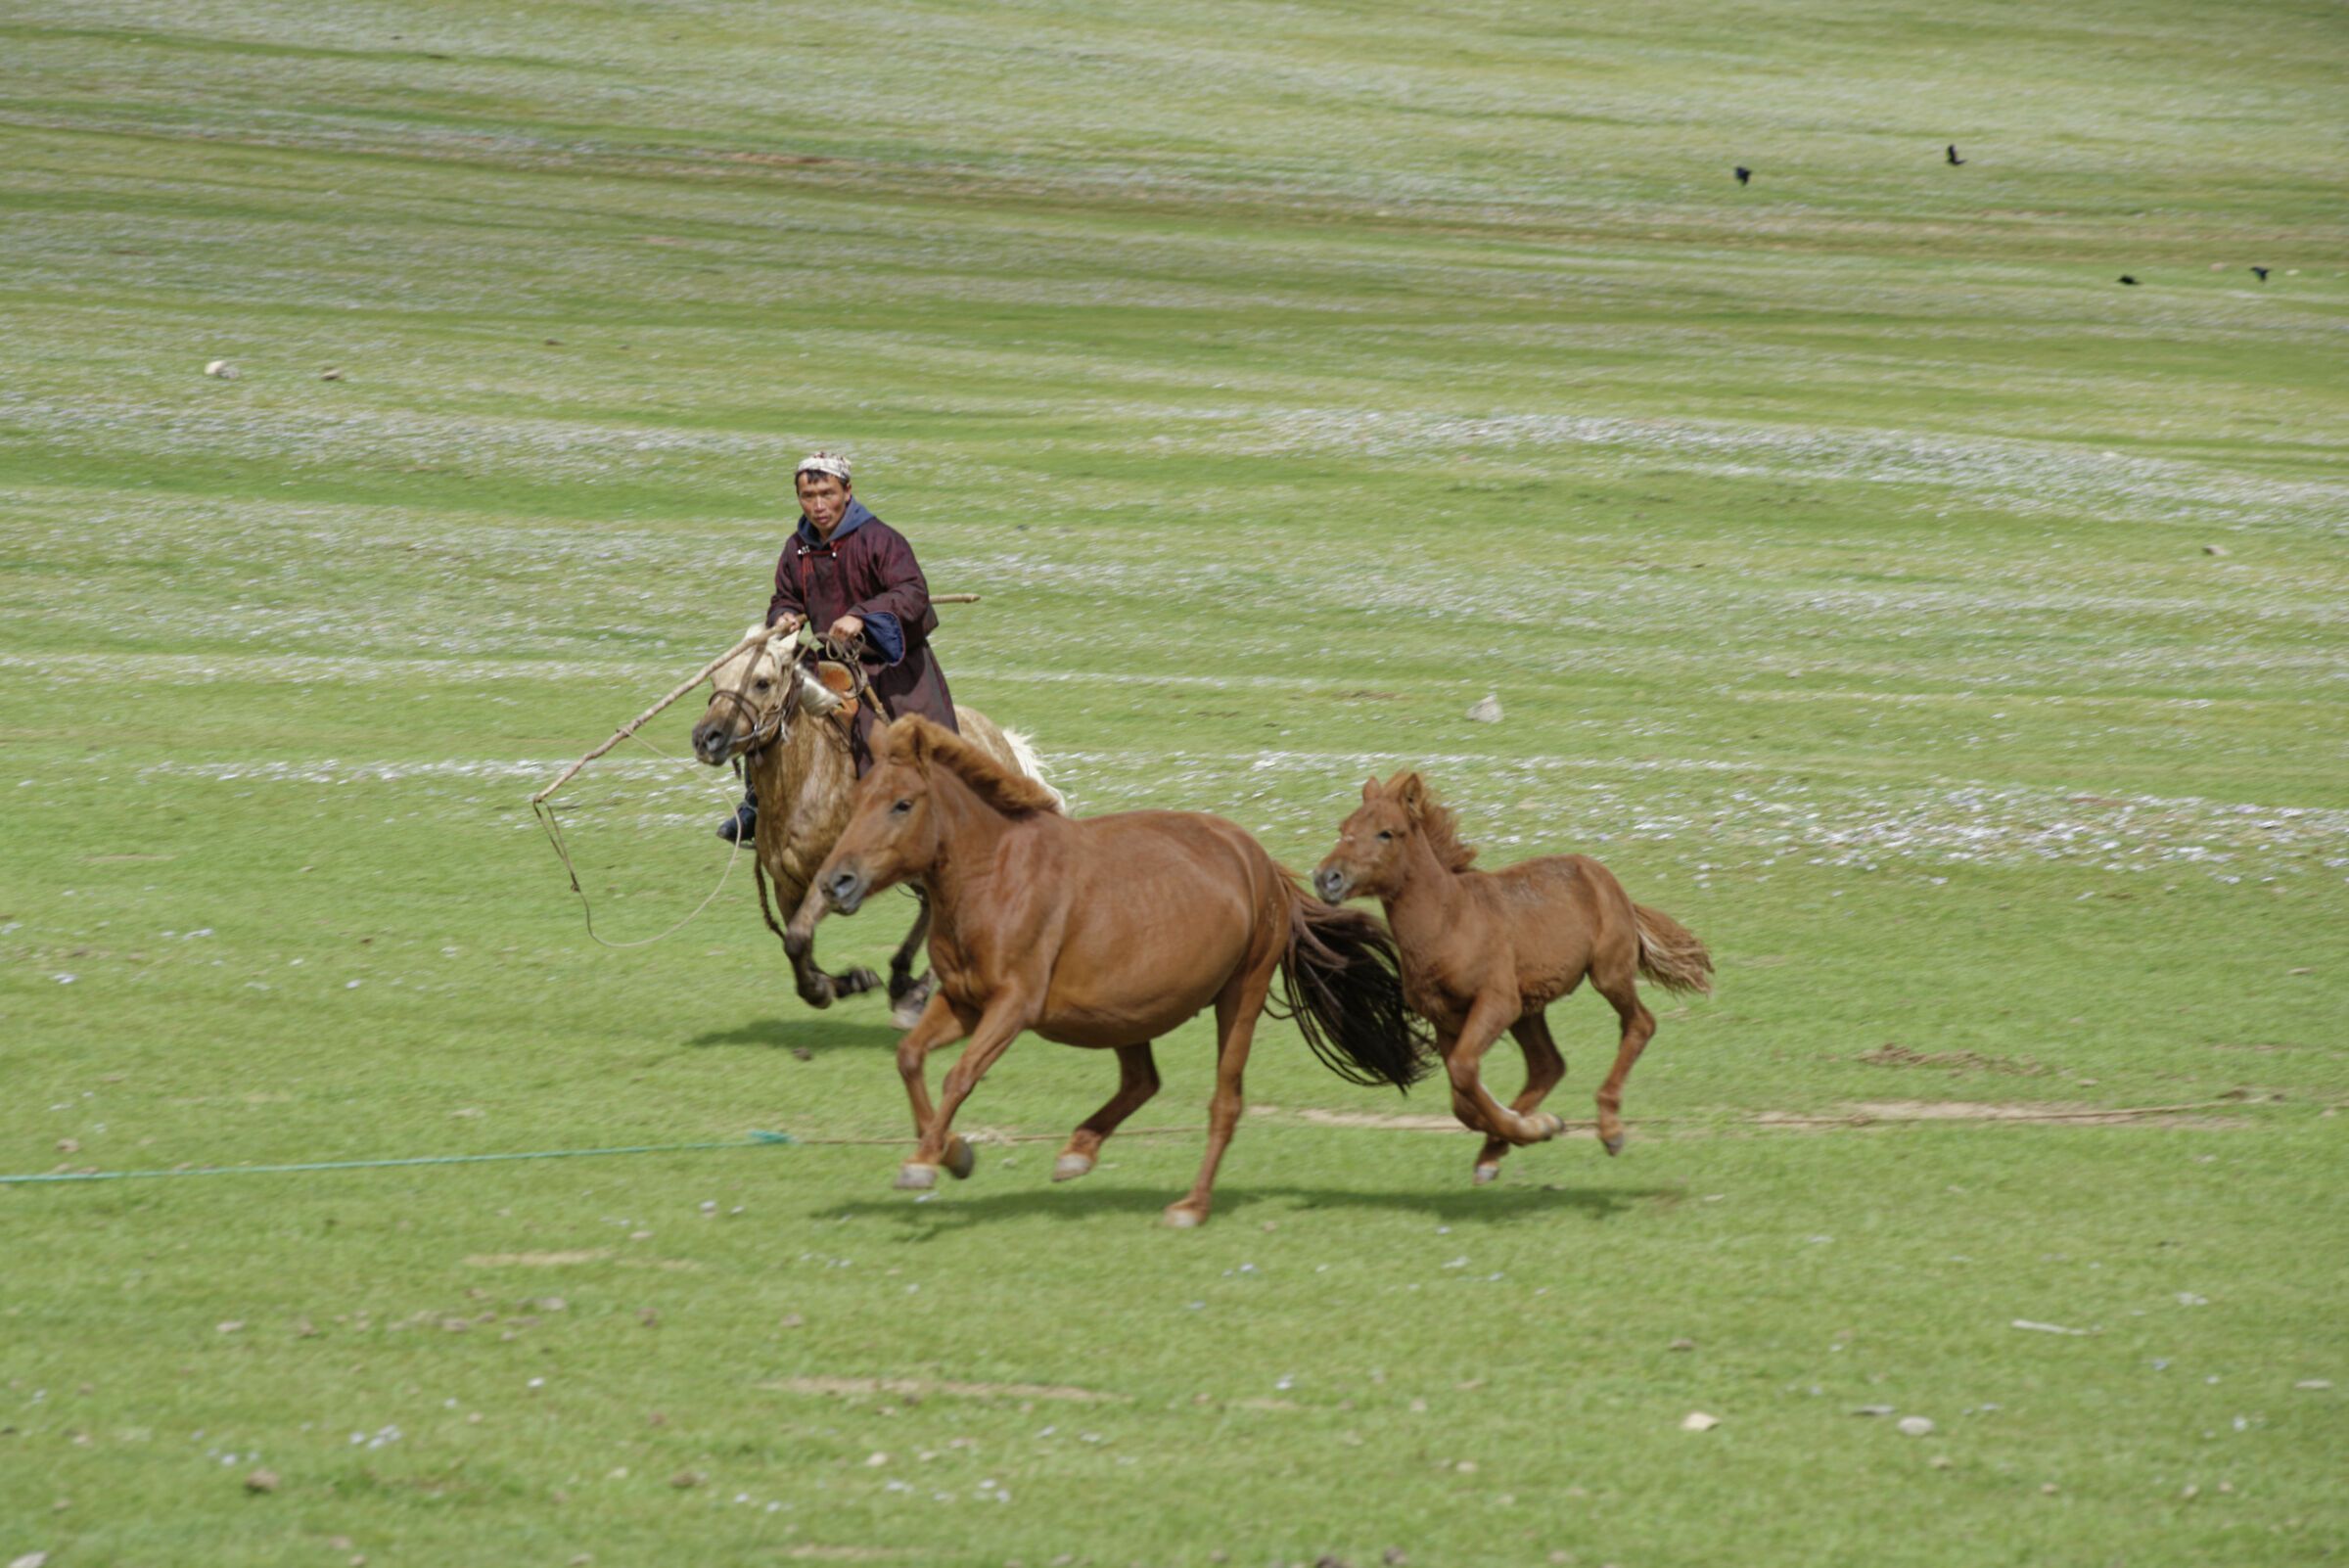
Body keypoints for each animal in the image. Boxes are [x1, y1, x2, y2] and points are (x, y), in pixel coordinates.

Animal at [690, 626, 1061, 1026]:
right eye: (715, 680)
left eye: (762, 682)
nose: (706, 738)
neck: (807, 781)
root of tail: (1000, 740)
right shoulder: (787, 885)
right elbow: (797, 943)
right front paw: (843, 982)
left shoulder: (831, 878)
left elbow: (798, 941)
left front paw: (830, 987)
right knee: (932, 906)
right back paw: (901, 979)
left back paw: (916, 993)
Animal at [785, 715, 1433, 1229]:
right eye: (856, 801)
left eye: (902, 803)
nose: (836, 882)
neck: (995, 875)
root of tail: (1261, 862)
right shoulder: (963, 1002)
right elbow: (911, 1058)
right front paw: (952, 1152)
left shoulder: (1012, 1006)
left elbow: (960, 1076)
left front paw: (922, 1162)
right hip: (1125, 1011)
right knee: (1142, 1082)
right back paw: (1079, 1149)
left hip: (1238, 997)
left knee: (1224, 1103)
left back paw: (1190, 1206)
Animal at [1313, 770, 1713, 1184]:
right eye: (1344, 828)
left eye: (1386, 833)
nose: (1327, 878)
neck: (1449, 922)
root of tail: (1606, 879)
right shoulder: (1445, 1018)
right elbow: (1462, 1099)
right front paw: (1533, 1128)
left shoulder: (1497, 1002)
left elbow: (1463, 1073)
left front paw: (1532, 1128)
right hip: (1530, 1008)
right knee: (1548, 1064)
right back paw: (1502, 1148)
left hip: (1606, 976)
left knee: (1639, 1024)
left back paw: (1610, 1130)